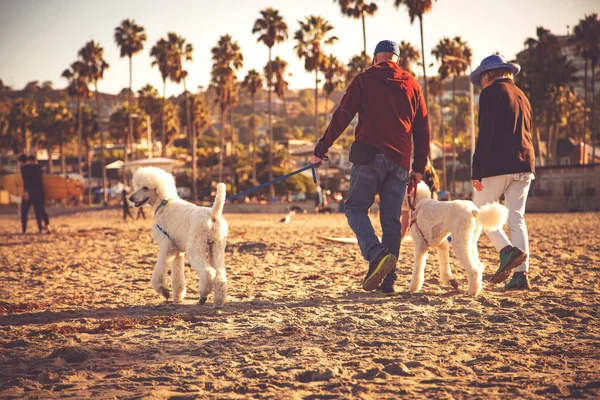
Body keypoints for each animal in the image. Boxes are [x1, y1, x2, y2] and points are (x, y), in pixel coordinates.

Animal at [127, 167, 229, 308]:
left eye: (145, 188)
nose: (131, 198)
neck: (163, 204)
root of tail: (213, 214)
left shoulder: (167, 247)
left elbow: (159, 270)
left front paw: (163, 290)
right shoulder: (177, 251)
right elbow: (177, 275)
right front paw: (177, 297)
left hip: (195, 247)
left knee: (208, 273)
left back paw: (203, 296)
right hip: (216, 247)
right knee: (220, 276)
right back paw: (218, 302)